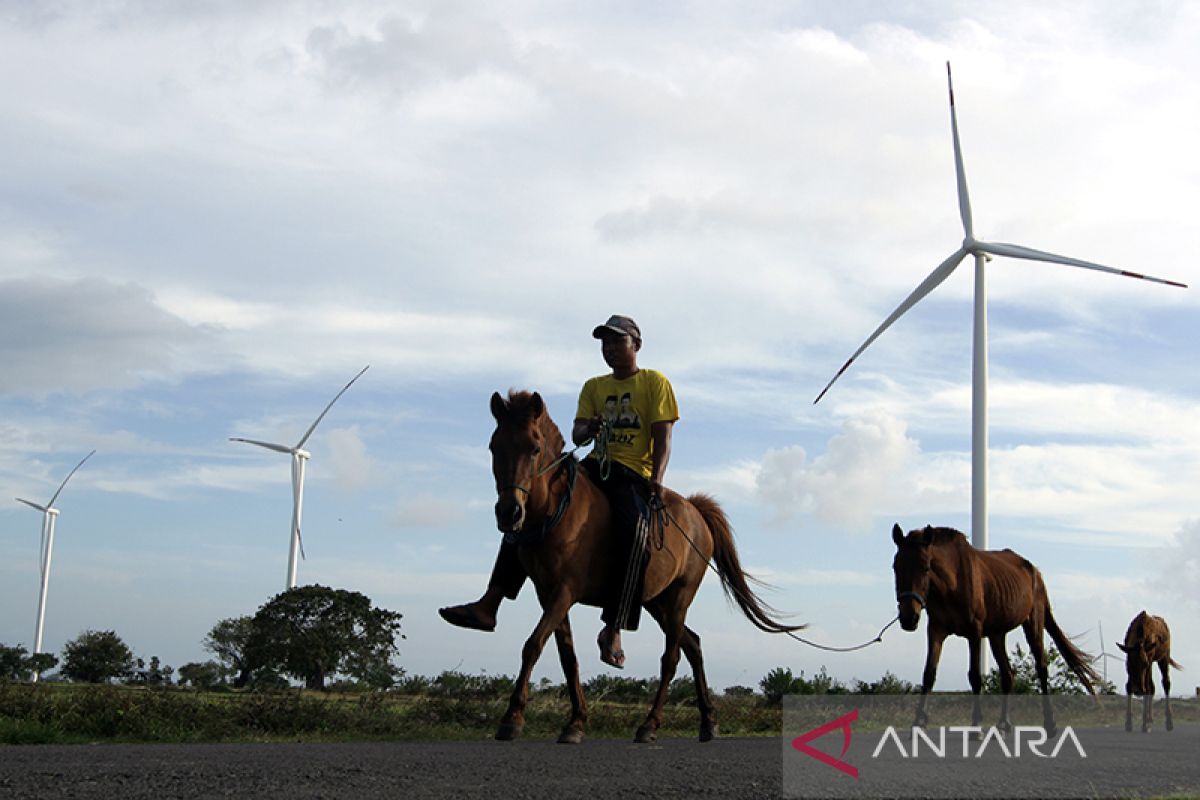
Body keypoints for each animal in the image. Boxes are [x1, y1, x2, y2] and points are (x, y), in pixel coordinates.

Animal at [487, 391, 806, 748]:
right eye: (494, 447)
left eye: (534, 448)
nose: (509, 512)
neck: (556, 512)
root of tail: (696, 512)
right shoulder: (547, 592)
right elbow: (566, 656)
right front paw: (575, 721)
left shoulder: (565, 590)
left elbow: (532, 645)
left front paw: (512, 718)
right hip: (656, 601)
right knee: (692, 645)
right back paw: (708, 722)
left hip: (679, 598)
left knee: (672, 657)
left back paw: (650, 724)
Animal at [892, 522, 1099, 734]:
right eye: (896, 567)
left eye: (926, 568)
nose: (908, 618)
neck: (952, 583)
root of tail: (1035, 572)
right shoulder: (936, 630)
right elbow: (929, 674)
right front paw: (919, 722)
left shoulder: (974, 633)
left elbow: (975, 676)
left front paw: (976, 726)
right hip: (996, 634)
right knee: (1008, 675)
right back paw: (1003, 724)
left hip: (1033, 622)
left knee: (1041, 667)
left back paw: (1049, 723)